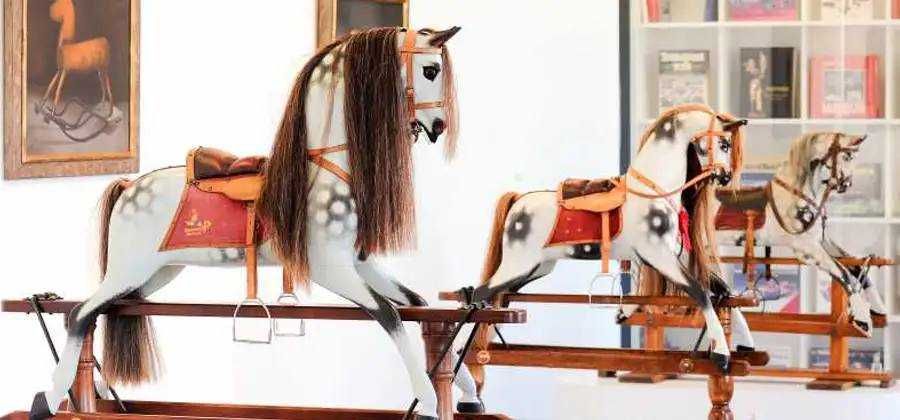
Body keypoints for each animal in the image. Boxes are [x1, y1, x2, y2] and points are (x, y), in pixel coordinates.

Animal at [29, 27, 470, 420]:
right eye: (430, 69)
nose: (438, 127)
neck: (323, 166)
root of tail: (126, 187)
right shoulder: (330, 268)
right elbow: (389, 315)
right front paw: (428, 402)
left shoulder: (360, 264)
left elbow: (418, 304)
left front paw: (463, 387)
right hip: (129, 269)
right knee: (80, 314)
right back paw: (48, 399)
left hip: (154, 273)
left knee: (107, 312)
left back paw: (97, 392)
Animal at [468, 104, 748, 379]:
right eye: (724, 144)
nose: (724, 176)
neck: (652, 190)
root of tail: (518, 202)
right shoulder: (660, 257)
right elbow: (700, 292)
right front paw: (721, 354)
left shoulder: (674, 256)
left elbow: (723, 290)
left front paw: (745, 343)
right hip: (518, 264)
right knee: (480, 293)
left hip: (537, 267)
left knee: (499, 297)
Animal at [715, 132, 879, 335]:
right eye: (847, 156)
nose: (847, 184)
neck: (796, 197)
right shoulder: (806, 247)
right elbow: (844, 274)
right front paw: (863, 321)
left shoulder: (821, 241)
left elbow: (855, 266)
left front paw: (877, 307)